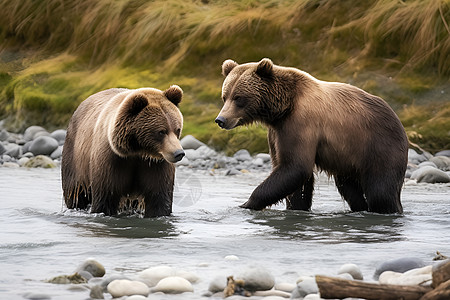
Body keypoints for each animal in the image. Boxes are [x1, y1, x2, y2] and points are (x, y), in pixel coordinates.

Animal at [61, 85, 185, 217]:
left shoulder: (156, 165)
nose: (179, 153)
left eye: (177, 129)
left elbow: (159, 197)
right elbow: (106, 196)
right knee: (75, 193)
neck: (137, 151)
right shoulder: (112, 160)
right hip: (75, 159)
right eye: (161, 131)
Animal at [214, 58, 408, 213]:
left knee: (381, 191)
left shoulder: (301, 124)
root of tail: (397, 119)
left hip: (379, 145)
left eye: (239, 98)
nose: (221, 119)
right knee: (351, 190)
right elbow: (292, 175)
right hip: (348, 158)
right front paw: (296, 207)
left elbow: (296, 167)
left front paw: (246, 203)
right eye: (225, 96)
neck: (283, 108)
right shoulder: (277, 132)